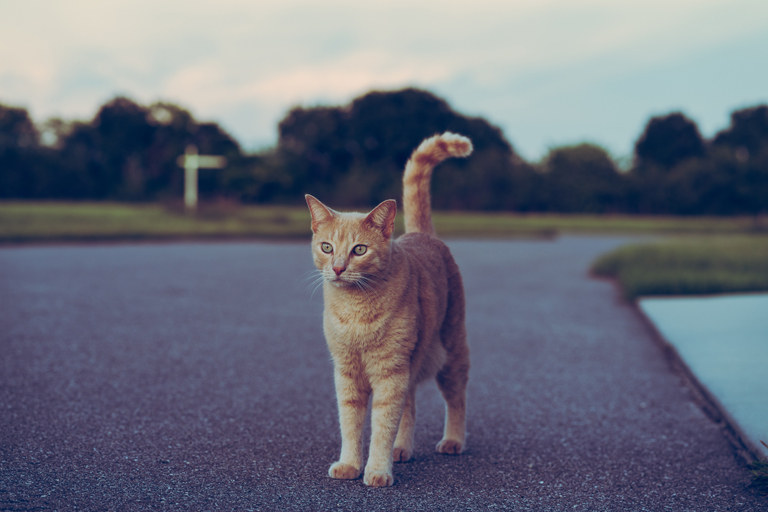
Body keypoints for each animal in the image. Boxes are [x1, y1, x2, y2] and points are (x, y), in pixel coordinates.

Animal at [304, 132, 472, 488]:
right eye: (327, 247)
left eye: (359, 250)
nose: (337, 268)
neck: (355, 310)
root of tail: (420, 234)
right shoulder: (347, 372)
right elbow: (351, 423)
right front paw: (351, 464)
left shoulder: (389, 372)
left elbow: (382, 423)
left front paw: (377, 470)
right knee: (410, 406)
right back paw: (402, 449)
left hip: (451, 353)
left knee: (456, 399)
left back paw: (453, 441)